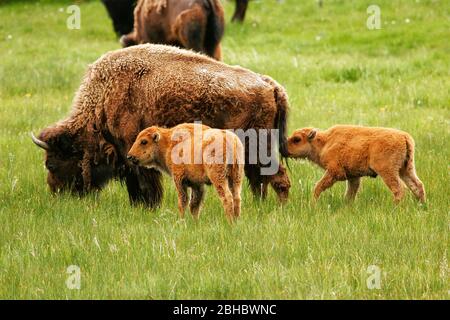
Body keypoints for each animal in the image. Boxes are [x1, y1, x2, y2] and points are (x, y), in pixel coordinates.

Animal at [31, 44, 292, 208]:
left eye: (52, 164)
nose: (56, 194)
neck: (104, 99)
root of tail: (270, 85)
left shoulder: (134, 153)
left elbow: (145, 184)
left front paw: (148, 207)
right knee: (259, 180)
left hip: (256, 148)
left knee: (273, 177)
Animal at [288, 125, 426, 202]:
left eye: (297, 139)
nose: (284, 148)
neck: (325, 142)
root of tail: (405, 137)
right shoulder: (353, 176)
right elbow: (350, 193)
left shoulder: (334, 172)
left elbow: (318, 186)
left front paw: (313, 203)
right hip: (406, 169)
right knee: (417, 186)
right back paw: (422, 205)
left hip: (388, 171)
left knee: (399, 189)